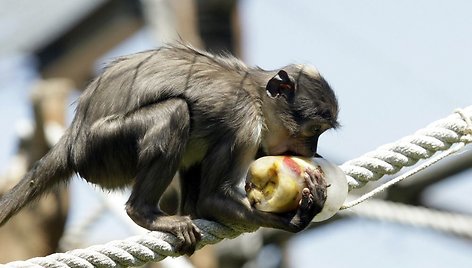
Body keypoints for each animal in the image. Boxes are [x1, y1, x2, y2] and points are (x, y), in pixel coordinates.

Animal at [0, 43, 340, 254]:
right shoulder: (243, 121)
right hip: (101, 150)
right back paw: (143, 212)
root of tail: (74, 136)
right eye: (313, 133)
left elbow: (201, 206)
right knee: (175, 112)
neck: (255, 92)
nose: (312, 150)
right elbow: (211, 199)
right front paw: (297, 218)